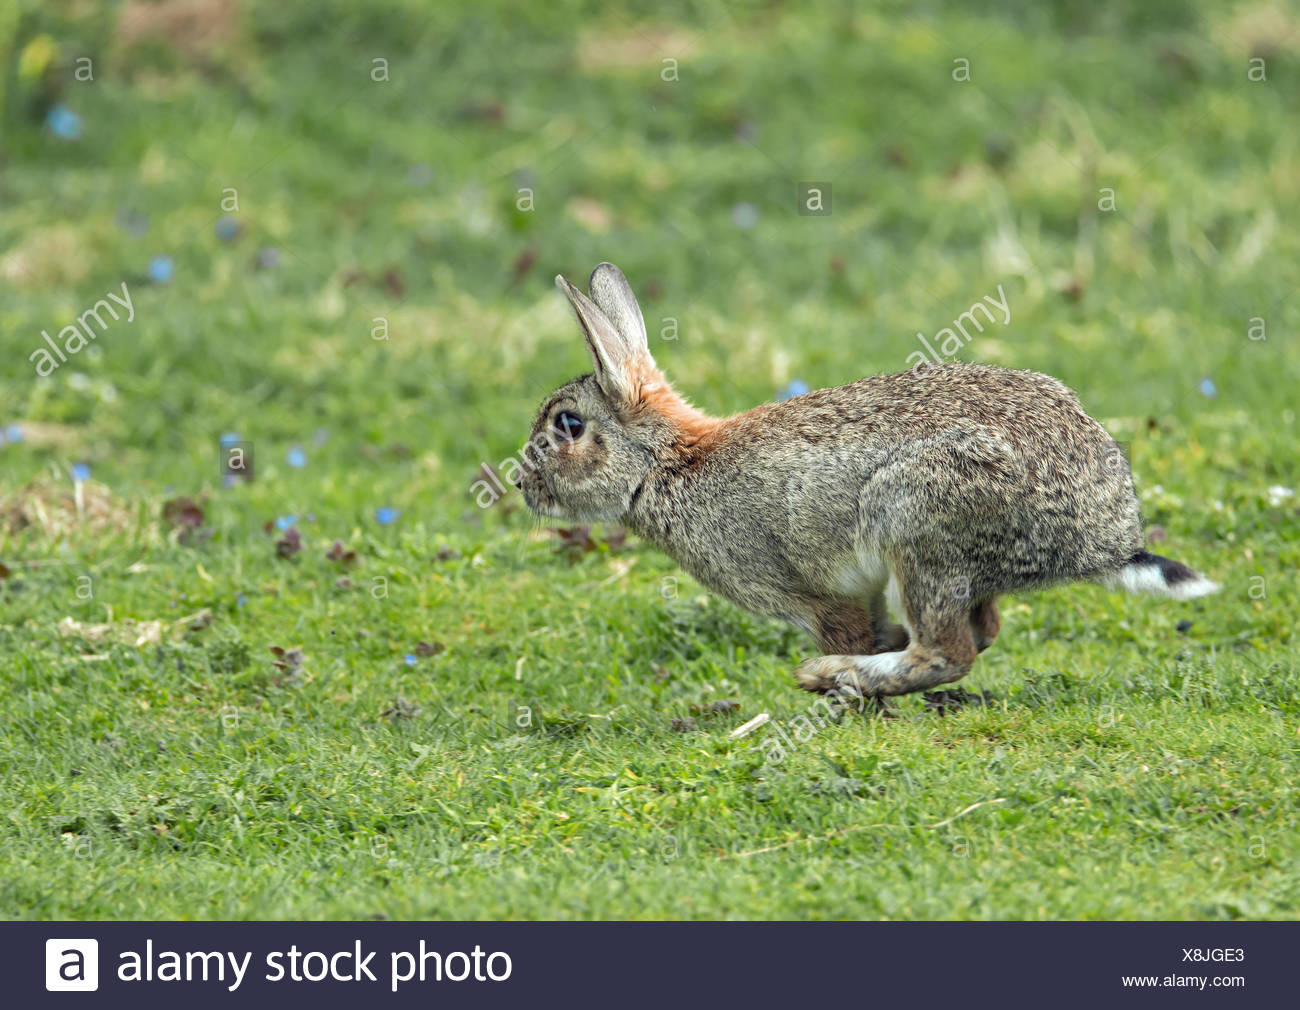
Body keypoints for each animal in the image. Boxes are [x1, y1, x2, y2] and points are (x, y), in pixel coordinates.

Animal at [516, 262, 1218, 701]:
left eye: (567, 425)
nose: (523, 485)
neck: (665, 464)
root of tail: (1105, 539)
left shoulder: (813, 597)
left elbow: (853, 629)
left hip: (919, 523)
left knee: (947, 652)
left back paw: (831, 676)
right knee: (978, 631)